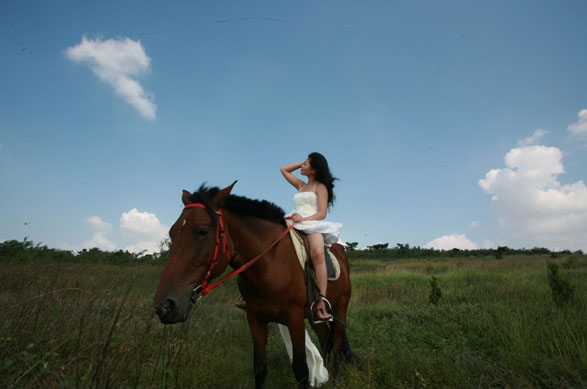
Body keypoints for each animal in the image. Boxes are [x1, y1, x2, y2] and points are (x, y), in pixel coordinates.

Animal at [154, 183, 352, 388]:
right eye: (172, 233)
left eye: (202, 231)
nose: (165, 306)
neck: (270, 263)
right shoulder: (255, 317)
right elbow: (260, 367)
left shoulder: (295, 318)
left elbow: (301, 369)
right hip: (315, 316)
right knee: (325, 339)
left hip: (340, 308)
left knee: (337, 344)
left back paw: (335, 379)